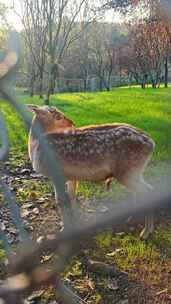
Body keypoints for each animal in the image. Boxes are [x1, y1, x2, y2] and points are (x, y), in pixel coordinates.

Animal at [27, 104, 155, 240]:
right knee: (144, 191)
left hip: (127, 171)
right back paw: (135, 221)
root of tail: (152, 144)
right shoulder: (71, 177)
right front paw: (75, 224)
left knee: (147, 191)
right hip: (134, 172)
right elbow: (72, 198)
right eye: (58, 116)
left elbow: (61, 201)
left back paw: (145, 232)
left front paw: (64, 230)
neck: (35, 147)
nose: (72, 122)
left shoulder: (56, 175)